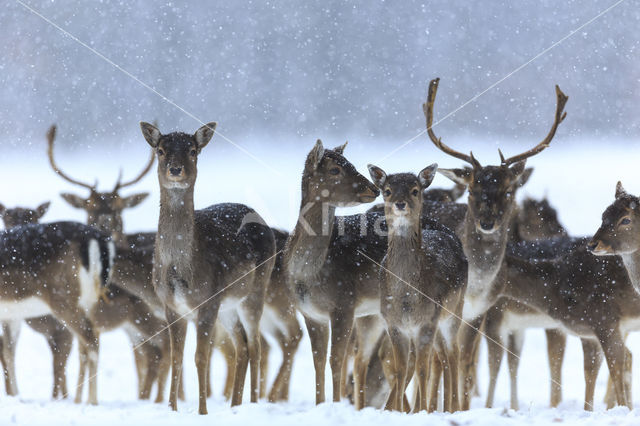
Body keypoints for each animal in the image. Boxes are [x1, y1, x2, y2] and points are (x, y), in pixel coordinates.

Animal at [0, 221, 114, 404]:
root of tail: (100, 240)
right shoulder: (11, 315)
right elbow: (9, 352)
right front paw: (16, 396)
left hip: (63, 299)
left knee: (91, 340)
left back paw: (92, 400)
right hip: (89, 301)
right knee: (87, 343)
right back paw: (79, 399)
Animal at [140, 121, 276, 414]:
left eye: (193, 150)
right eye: (160, 150)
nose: (175, 169)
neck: (180, 271)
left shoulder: (208, 300)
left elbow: (200, 357)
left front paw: (202, 411)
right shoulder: (170, 305)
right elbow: (177, 357)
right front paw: (172, 409)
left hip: (255, 290)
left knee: (256, 345)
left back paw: (253, 404)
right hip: (229, 306)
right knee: (241, 346)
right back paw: (234, 405)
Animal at [368, 165, 468, 412]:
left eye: (415, 190)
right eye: (387, 190)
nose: (400, 203)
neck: (406, 298)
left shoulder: (426, 321)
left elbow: (423, 370)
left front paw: (421, 411)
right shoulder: (393, 323)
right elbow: (400, 369)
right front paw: (399, 410)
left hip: (453, 311)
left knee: (453, 353)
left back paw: (453, 407)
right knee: (442, 356)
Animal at [422, 76, 568, 410]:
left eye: (507, 191)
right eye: (473, 190)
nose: (487, 222)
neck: (477, 283)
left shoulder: (481, 311)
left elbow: (465, 361)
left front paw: (462, 407)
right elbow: (445, 359)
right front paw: (442, 407)